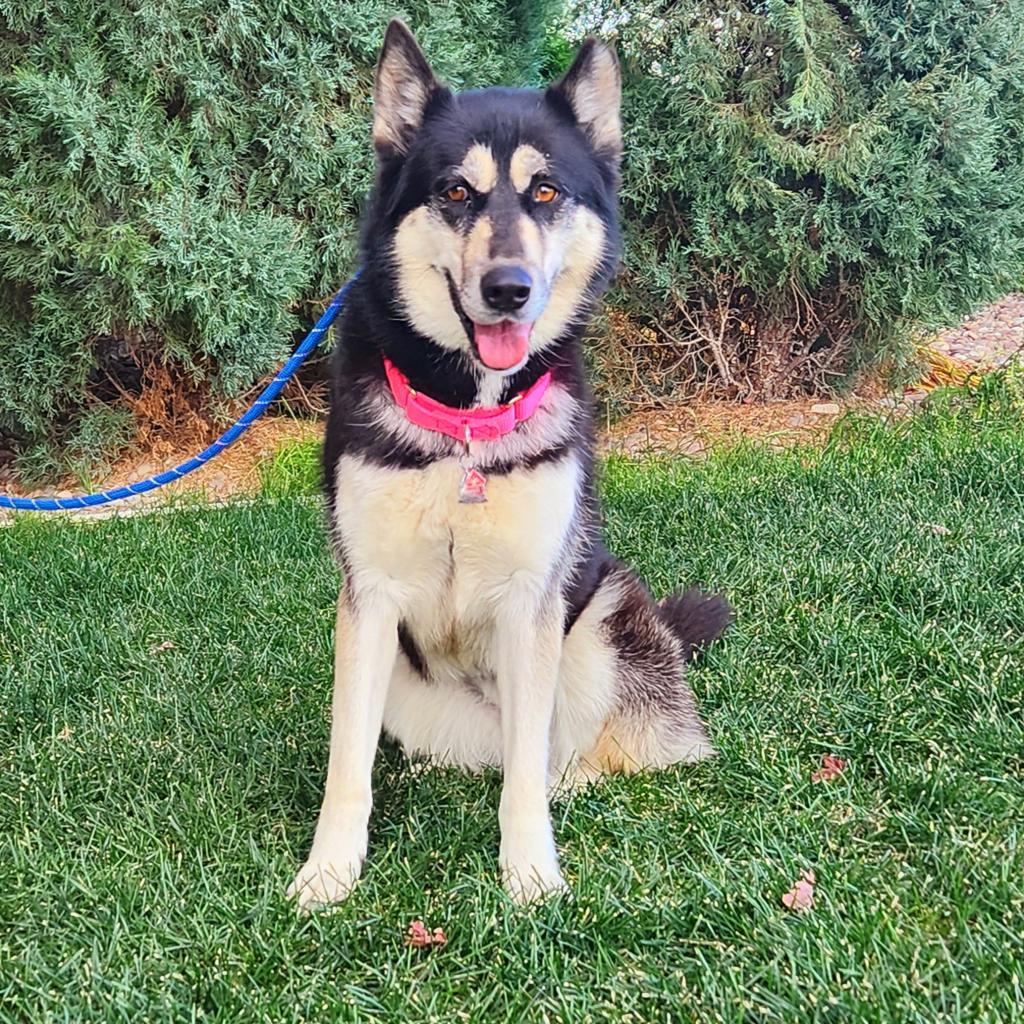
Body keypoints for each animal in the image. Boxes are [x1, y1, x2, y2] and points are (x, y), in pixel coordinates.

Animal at [288, 19, 733, 909]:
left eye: (547, 193)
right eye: (457, 192)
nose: (508, 289)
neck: (468, 423)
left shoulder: (534, 603)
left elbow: (528, 771)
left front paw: (530, 873)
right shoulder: (368, 604)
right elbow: (347, 767)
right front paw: (329, 872)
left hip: (602, 618)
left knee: (583, 754)